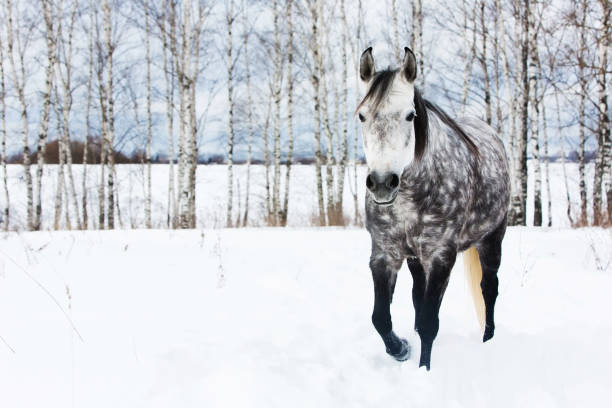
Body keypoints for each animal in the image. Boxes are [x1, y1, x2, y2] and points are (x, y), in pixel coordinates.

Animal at [356, 47, 510, 370]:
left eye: (410, 115)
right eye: (362, 115)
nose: (382, 183)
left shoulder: (442, 256)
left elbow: (430, 322)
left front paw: (424, 370)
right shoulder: (384, 254)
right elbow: (380, 318)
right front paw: (401, 348)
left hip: (492, 240)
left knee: (489, 289)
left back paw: (488, 340)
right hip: (416, 258)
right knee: (418, 294)